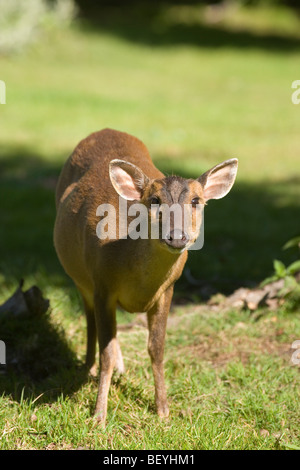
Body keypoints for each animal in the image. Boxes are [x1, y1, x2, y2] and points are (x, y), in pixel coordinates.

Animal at [52, 129, 238, 426]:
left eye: (195, 201)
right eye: (155, 200)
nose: (177, 236)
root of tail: (105, 129)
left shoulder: (168, 290)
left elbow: (156, 348)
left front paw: (163, 410)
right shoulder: (102, 286)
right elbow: (105, 350)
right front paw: (99, 415)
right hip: (80, 278)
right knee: (90, 321)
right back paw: (89, 368)